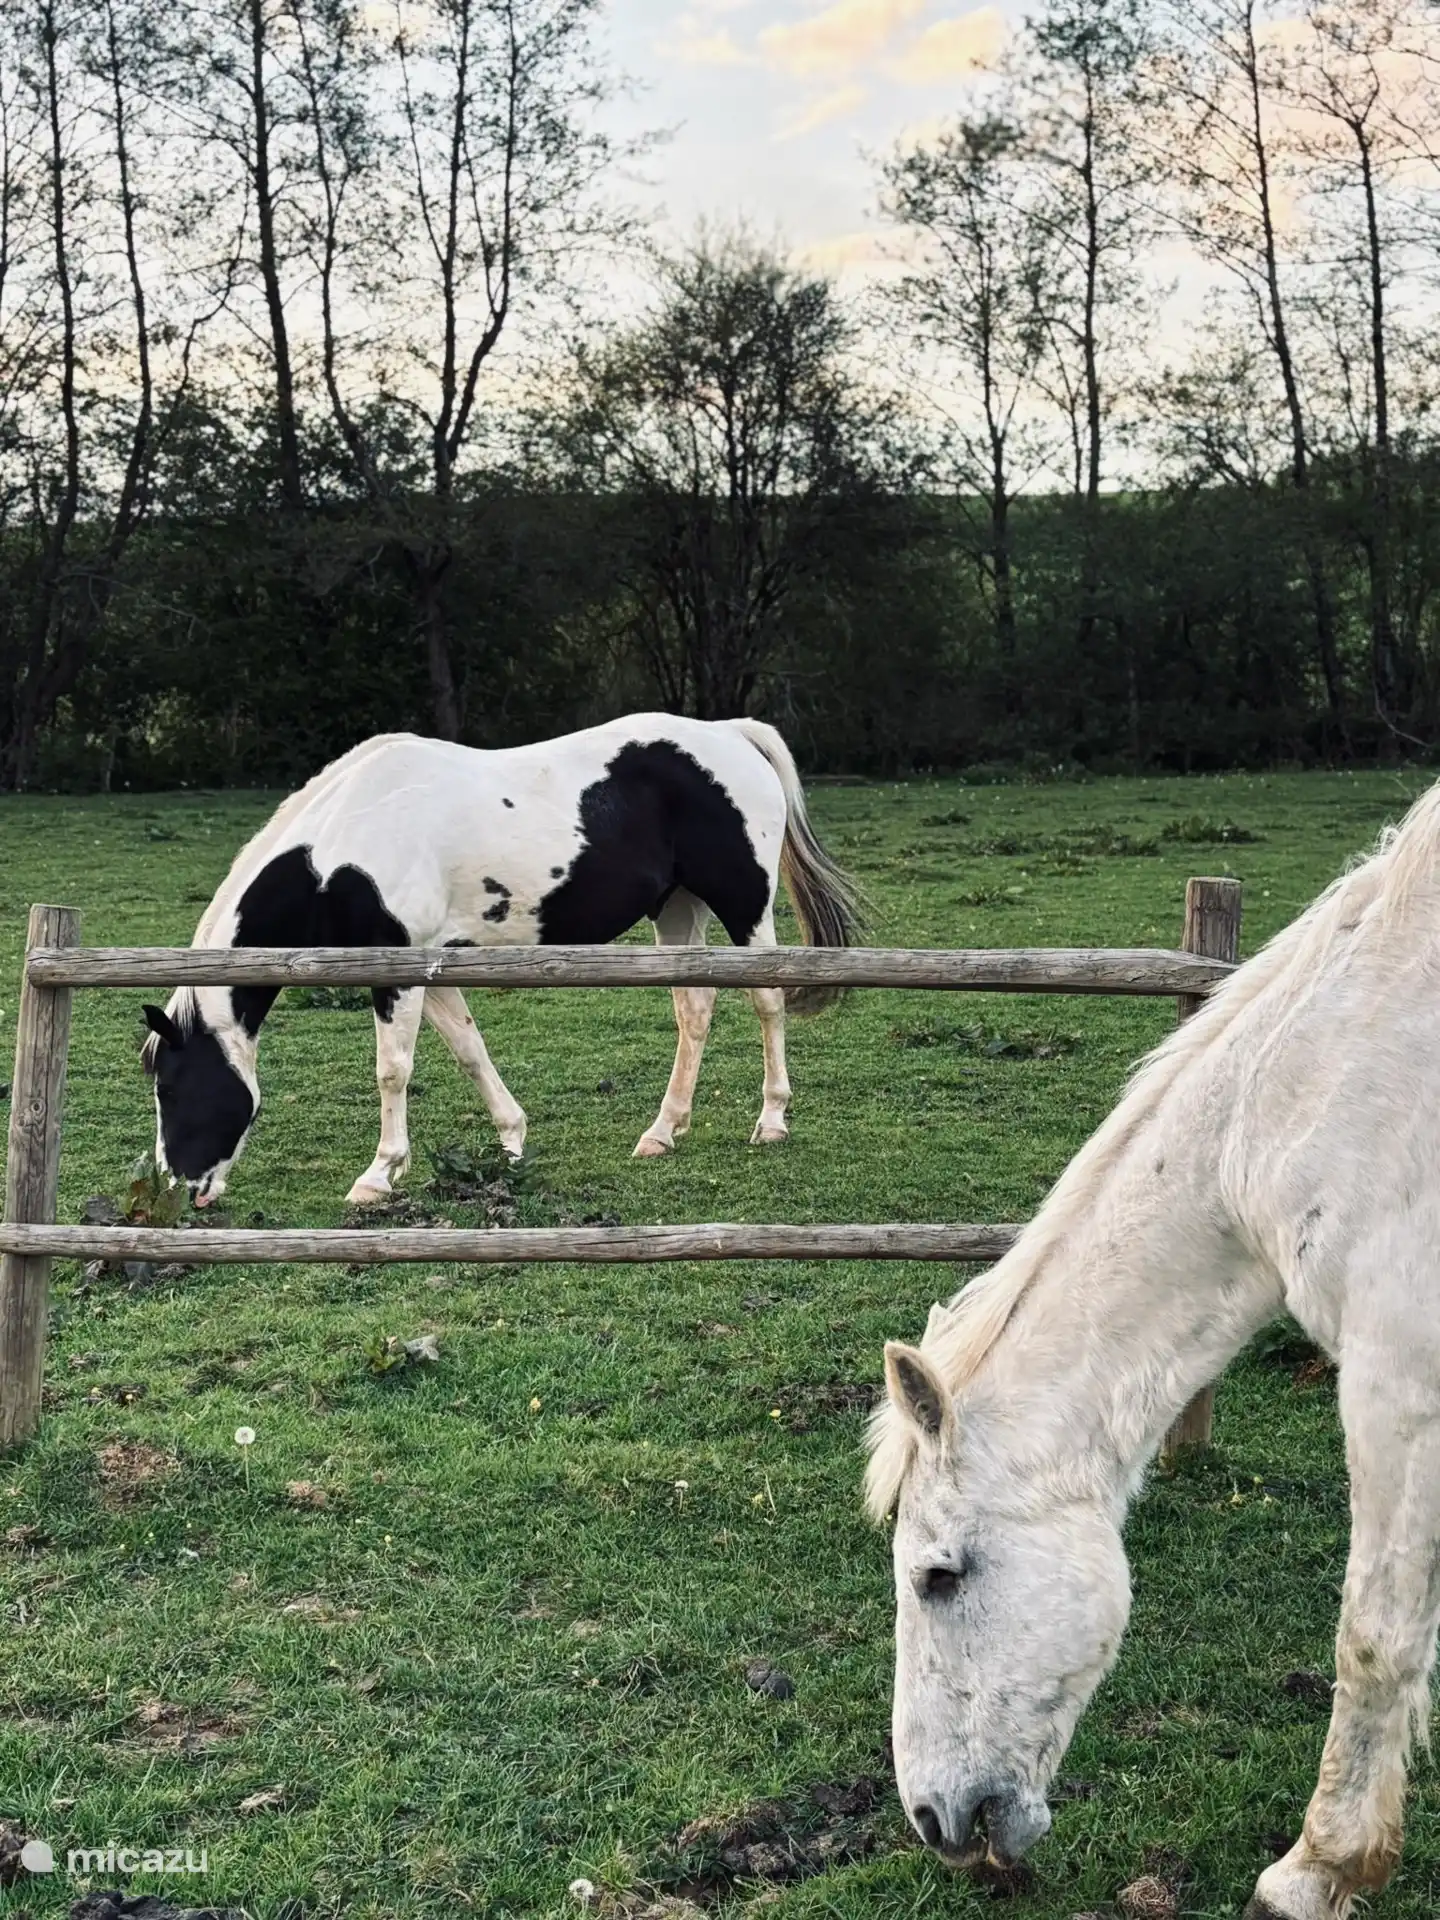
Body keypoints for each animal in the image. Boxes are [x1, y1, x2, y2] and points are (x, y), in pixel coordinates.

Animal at [140, 715, 860, 1209]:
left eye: (171, 1086)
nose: (182, 1187)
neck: (346, 843)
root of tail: (731, 735)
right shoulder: (430, 967)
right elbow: (468, 1050)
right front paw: (512, 1139)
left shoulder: (395, 969)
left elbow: (393, 1072)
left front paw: (378, 1174)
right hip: (677, 910)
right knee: (696, 1011)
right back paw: (662, 1131)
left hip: (744, 908)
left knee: (767, 1001)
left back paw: (771, 1120)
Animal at [867, 780, 1440, 1920]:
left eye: (938, 1578)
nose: (933, 1820)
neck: (1328, 1069)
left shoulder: (1397, 1381)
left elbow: (1376, 1637)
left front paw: (1319, 1868)